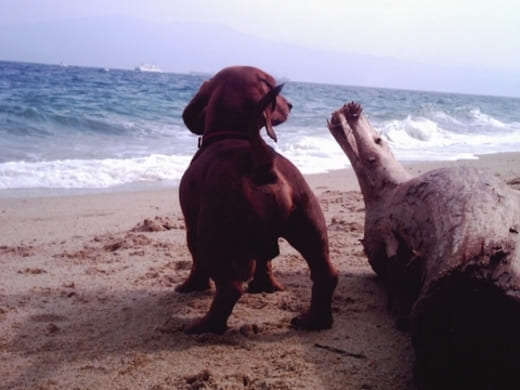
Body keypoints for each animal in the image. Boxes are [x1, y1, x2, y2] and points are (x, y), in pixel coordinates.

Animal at [177, 66, 338, 332]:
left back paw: (205, 326)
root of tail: (263, 165)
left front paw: (190, 286)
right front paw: (266, 286)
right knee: (327, 275)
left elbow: (196, 264)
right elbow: (265, 261)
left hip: (211, 237)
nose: (290, 105)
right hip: (310, 228)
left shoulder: (191, 228)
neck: (233, 134)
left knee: (229, 289)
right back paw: (315, 320)